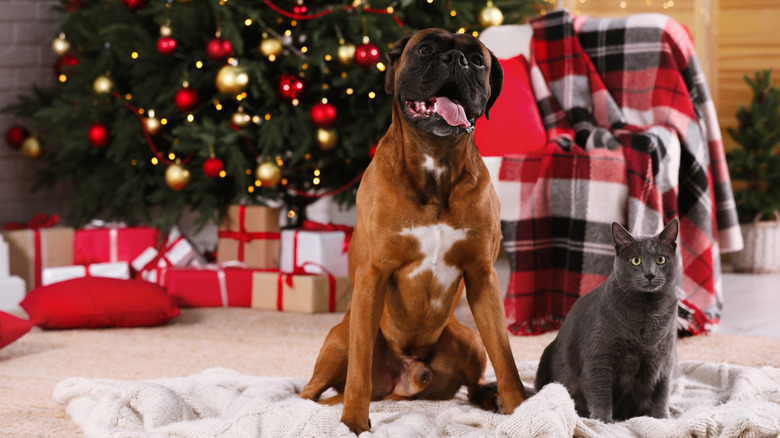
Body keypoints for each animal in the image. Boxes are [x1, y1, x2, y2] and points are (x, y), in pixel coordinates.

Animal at [298, 28, 524, 434]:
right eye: (425, 48)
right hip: (340, 338)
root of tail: (404, 380)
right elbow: (358, 372)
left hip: (468, 339)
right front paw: (353, 421)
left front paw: (524, 410)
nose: (456, 60)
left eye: (477, 59)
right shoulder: (373, 277)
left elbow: (505, 358)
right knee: (312, 389)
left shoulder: (483, 278)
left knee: (474, 384)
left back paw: (491, 397)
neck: (436, 163)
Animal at [532, 221, 680, 422]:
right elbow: (600, 392)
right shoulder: (600, 357)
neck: (647, 312)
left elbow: (662, 392)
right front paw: (603, 422)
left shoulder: (665, 357)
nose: (650, 274)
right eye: (636, 260)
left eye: (660, 260)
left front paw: (663, 419)